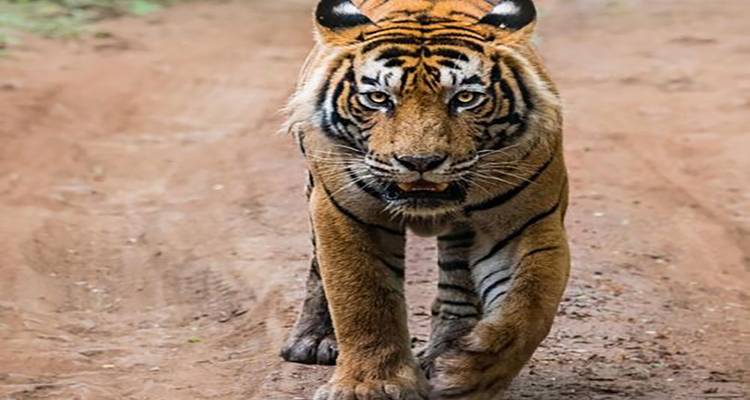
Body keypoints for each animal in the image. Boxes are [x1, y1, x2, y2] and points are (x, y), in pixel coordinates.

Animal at [280, 0, 570, 399]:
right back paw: (314, 339)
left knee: (457, 287)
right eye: (378, 98)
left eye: (465, 98)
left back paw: (445, 351)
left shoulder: (525, 224)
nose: (420, 162)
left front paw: (469, 374)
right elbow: (363, 297)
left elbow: (528, 308)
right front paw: (370, 385)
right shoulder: (346, 213)